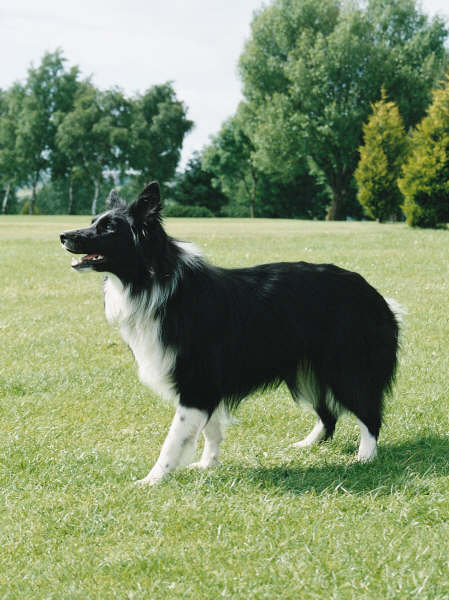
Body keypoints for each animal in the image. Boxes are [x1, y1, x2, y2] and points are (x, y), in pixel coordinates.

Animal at [59, 180, 400, 486]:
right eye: (93, 221)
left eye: (109, 229)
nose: (63, 235)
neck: (153, 282)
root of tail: (374, 293)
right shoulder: (206, 384)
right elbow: (209, 429)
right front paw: (207, 464)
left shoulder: (196, 381)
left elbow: (174, 439)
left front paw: (152, 479)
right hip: (308, 370)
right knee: (328, 414)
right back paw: (308, 444)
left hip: (346, 367)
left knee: (369, 411)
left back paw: (364, 457)